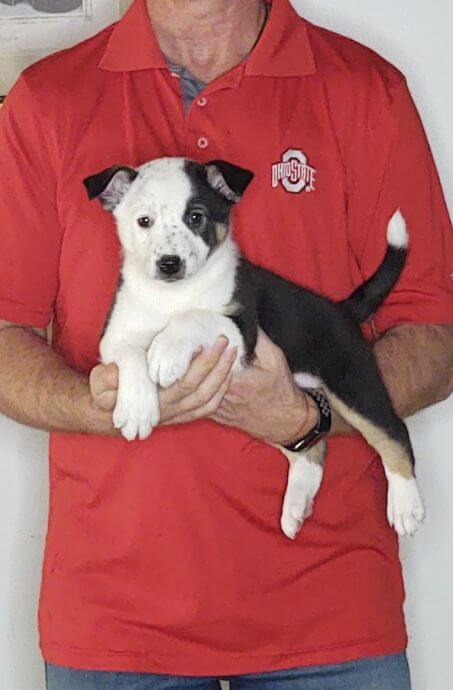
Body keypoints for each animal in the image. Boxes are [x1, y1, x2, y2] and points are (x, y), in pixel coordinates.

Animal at [84, 156, 424, 536]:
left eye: (196, 217)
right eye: (144, 221)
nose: (169, 263)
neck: (173, 295)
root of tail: (342, 309)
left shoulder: (241, 333)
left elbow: (194, 317)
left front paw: (166, 353)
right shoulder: (116, 335)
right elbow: (130, 357)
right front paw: (137, 409)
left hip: (352, 381)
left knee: (392, 430)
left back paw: (406, 507)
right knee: (312, 449)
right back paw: (296, 504)